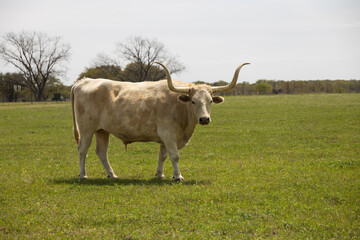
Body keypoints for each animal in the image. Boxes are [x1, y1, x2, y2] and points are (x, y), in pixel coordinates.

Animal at [71, 62, 249, 180]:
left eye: (210, 101)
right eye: (193, 101)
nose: (204, 119)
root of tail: (85, 81)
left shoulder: (166, 137)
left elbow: (163, 156)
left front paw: (160, 174)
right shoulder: (168, 133)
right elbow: (174, 155)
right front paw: (178, 176)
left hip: (102, 130)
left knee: (101, 152)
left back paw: (112, 175)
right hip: (86, 129)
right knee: (82, 150)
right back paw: (83, 175)